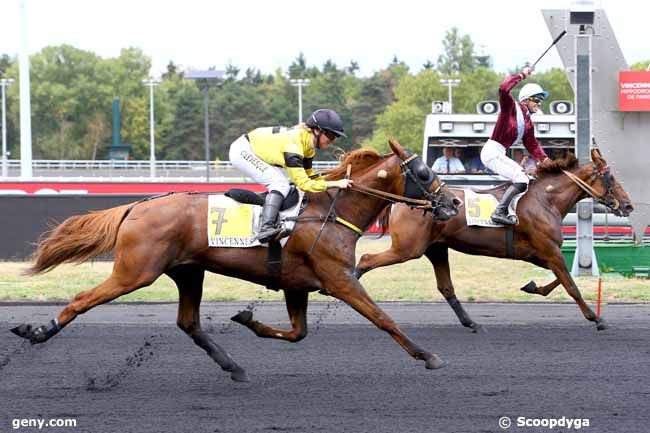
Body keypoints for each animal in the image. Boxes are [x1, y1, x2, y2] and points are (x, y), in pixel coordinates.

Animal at [13, 139, 460, 382]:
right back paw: (37, 331)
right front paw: (428, 355)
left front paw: (247, 319)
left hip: (188, 272)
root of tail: (137, 206)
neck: (331, 213)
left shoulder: (297, 285)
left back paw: (233, 366)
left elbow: (297, 333)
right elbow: (383, 318)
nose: (454, 203)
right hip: (135, 272)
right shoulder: (340, 280)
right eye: (423, 172)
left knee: (189, 323)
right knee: (82, 299)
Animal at [354, 148, 632, 330]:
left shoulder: (540, 254)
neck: (546, 200)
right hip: (408, 248)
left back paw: (472, 323)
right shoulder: (549, 250)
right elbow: (570, 285)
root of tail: (403, 201)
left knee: (446, 287)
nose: (628, 205)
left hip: (436, 248)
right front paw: (597, 319)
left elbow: (562, 279)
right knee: (365, 259)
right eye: (610, 177)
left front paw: (532, 286)